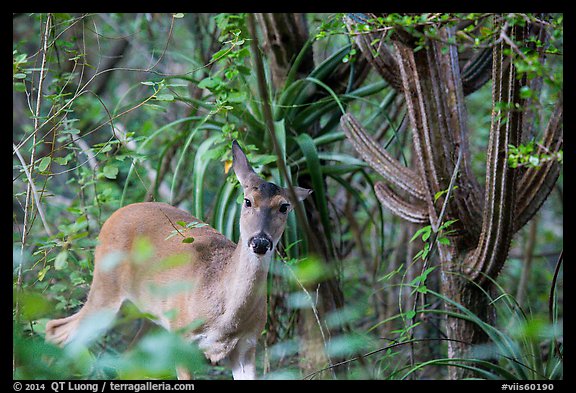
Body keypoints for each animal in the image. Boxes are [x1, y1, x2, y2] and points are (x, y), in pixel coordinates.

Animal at [45, 140, 312, 376]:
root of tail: (114, 215)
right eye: (247, 201)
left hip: (148, 316)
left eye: (284, 207)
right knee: (57, 330)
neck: (226, 317)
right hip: (106, 290)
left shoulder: (248, 345)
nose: (260, 242)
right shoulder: (181, 335)